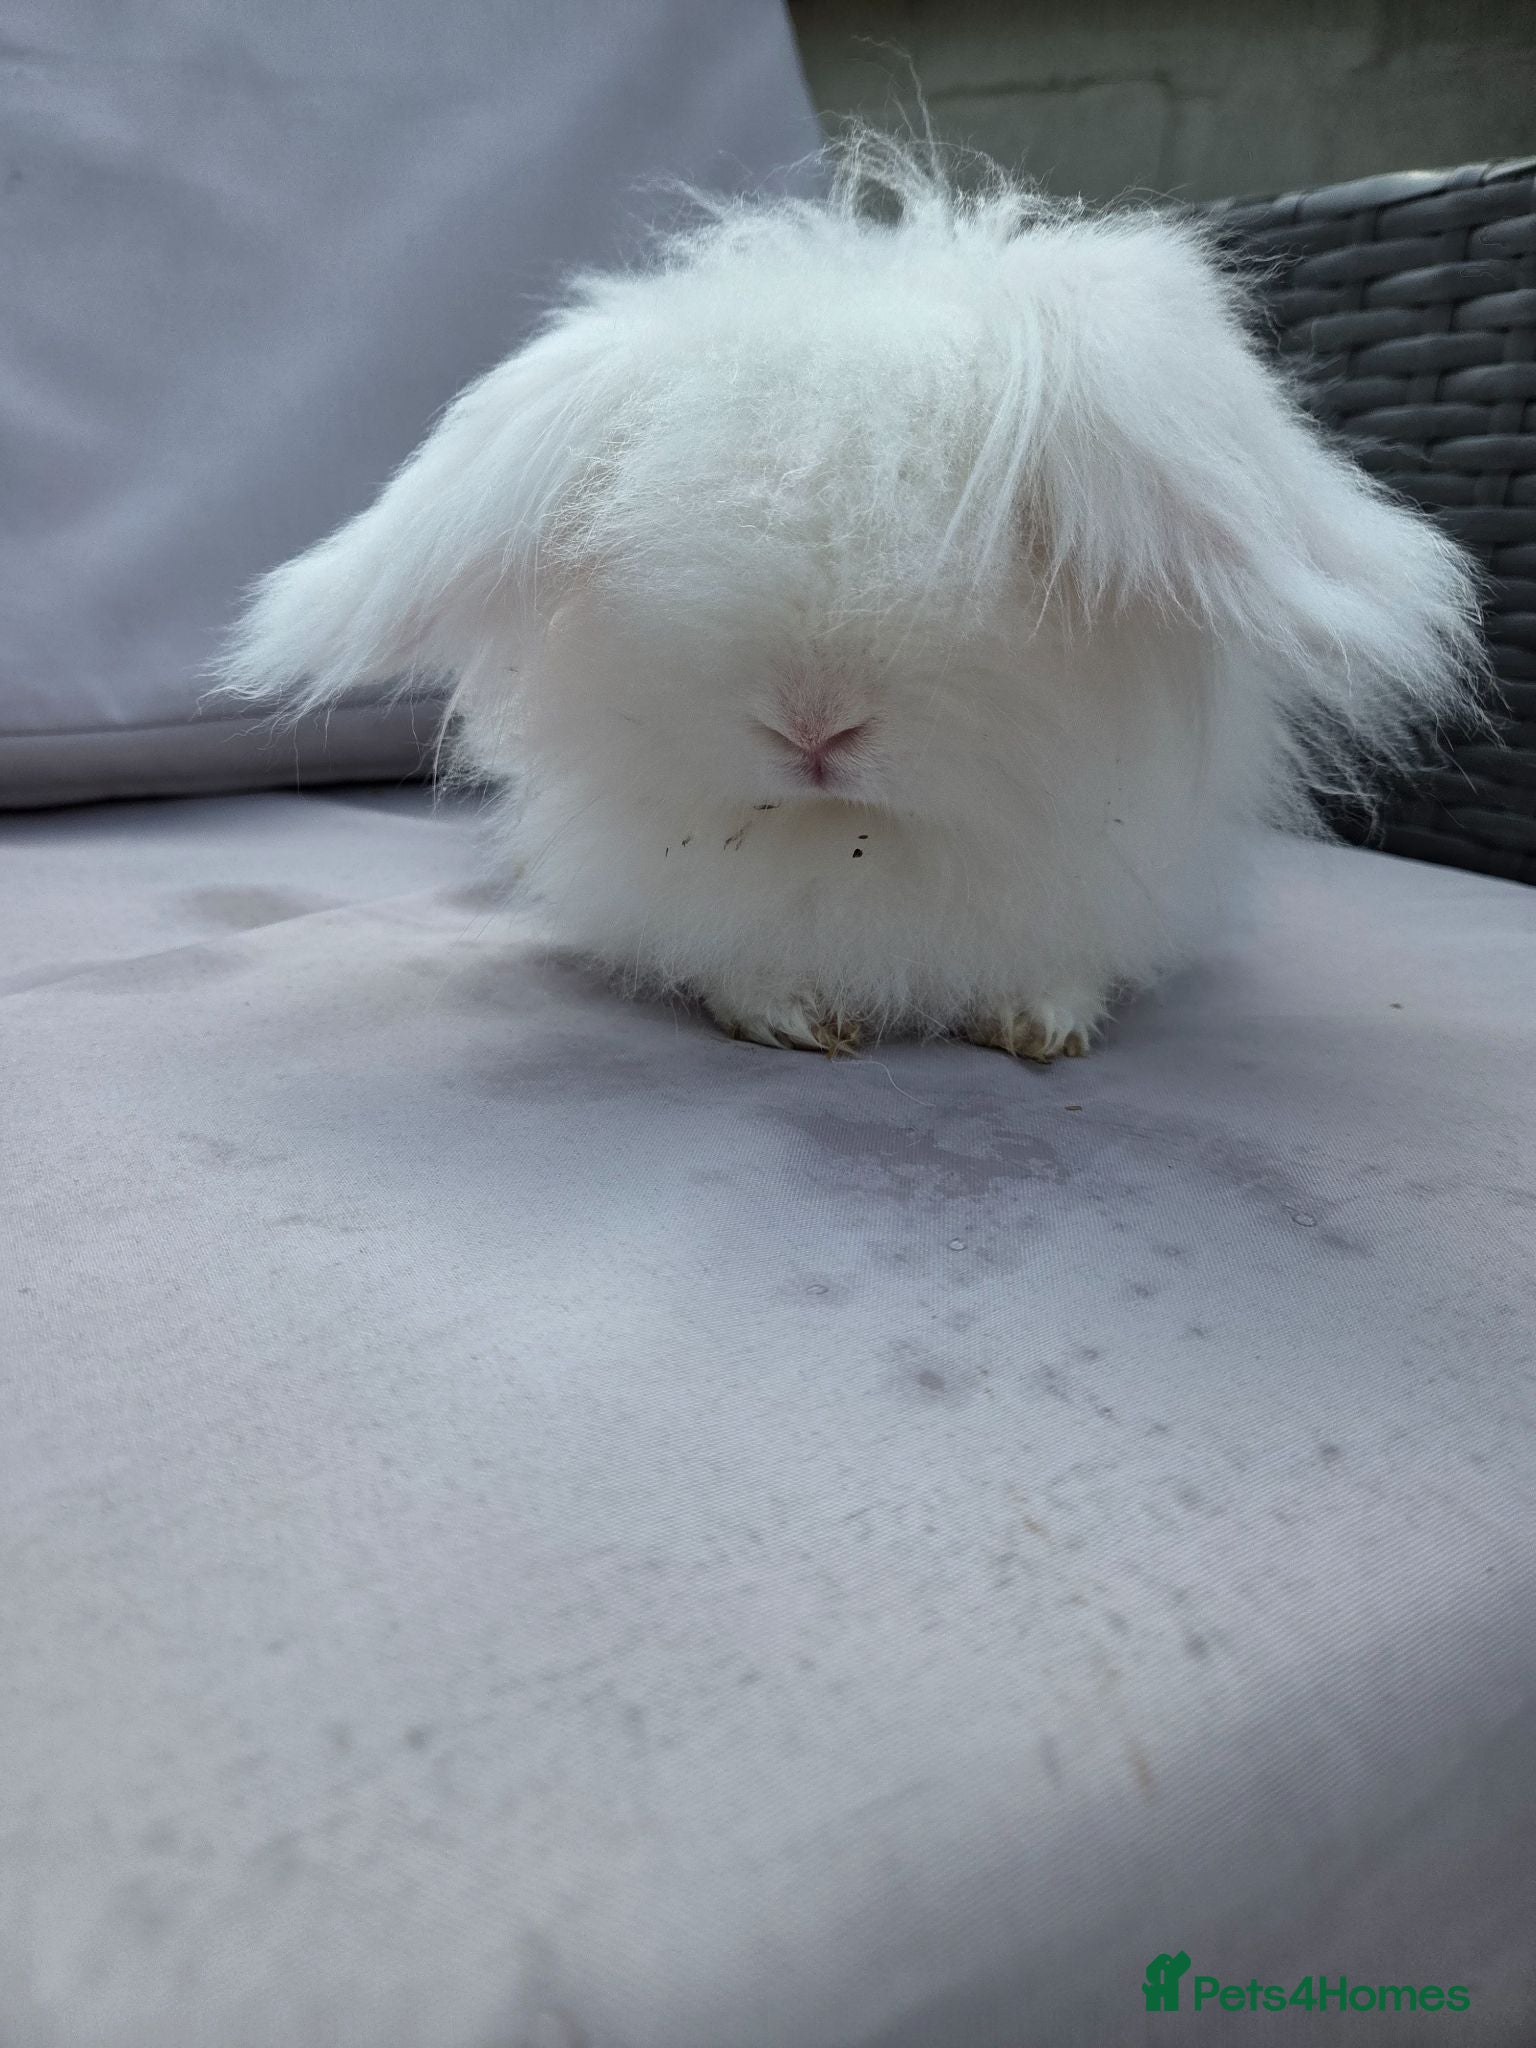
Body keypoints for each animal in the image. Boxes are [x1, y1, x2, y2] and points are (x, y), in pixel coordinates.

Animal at [219, 136, 1482, 1059]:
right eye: (644, 529)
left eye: (1015, 544)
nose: (814, 728)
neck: (865, 843)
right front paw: (791, 1019)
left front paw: (1040, 1027)